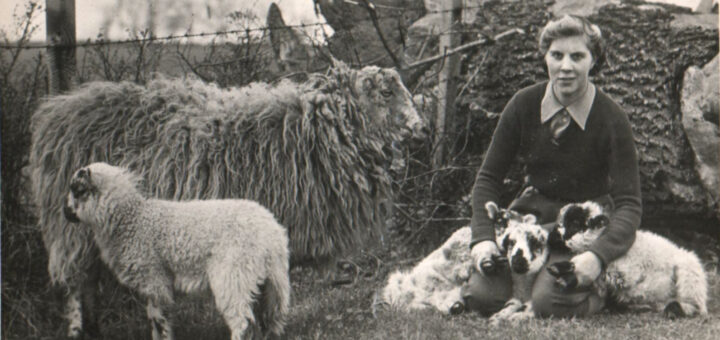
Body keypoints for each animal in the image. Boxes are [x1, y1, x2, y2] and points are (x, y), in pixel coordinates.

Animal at [63, 162, 292, 340]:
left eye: (78, 190)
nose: (65, 212)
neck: (131, 219)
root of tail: (272, 234)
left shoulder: (154, 278)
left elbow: (158, 320)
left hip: (234, 275)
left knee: (243, 323)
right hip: (269, 281)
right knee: (269, 321)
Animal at [544, 201, 708, 318]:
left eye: (575, 224)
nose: (551, 236)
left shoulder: (624, 271)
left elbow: (600, 272)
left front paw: (565, 275)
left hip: (690, 273)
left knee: (696, 305)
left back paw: (675, 309)